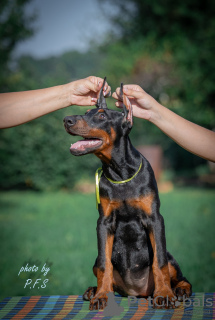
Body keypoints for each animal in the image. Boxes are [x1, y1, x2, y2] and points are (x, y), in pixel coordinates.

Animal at [63, 77, 191, 310]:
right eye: (86, 112)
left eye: (102, 116)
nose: (66, 119)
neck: (120, 173)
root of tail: (137, 292)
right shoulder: (103, 223)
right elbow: (105, 265)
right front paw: (101, 296)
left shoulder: (155, 219)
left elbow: (159, 262)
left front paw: (164, 295)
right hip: (97, 260)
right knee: (102, 266)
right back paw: (93, 290)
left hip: (172, 259)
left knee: (178, 274)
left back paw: (179, 290)